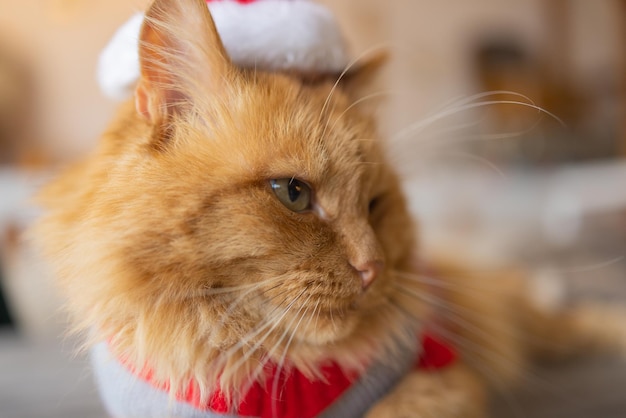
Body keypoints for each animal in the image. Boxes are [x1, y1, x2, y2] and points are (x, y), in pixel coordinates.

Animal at [33, 0, 624, 418]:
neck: (273, 376)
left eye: (374, 204)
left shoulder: (438, 381)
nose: (373, 268)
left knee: (569, 317)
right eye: (293, 194)